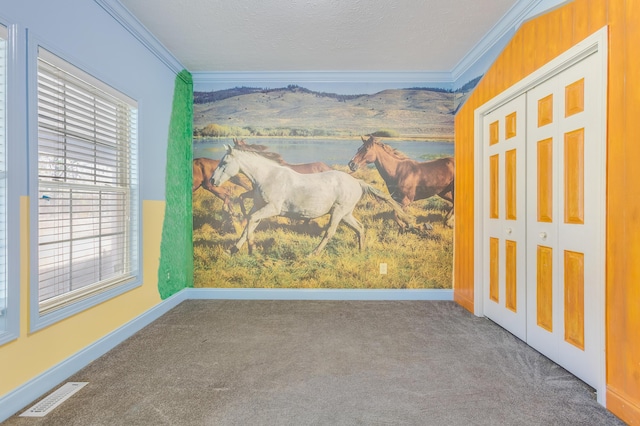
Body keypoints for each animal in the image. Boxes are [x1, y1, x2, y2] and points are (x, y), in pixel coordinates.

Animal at [210, 146, 410, 256]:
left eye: (224, 163)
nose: (212, 181)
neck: (268, 176)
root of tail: (358, 182)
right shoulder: (259, 206)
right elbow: (249, 222)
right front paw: (234, 250)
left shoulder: (272, 208)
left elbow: (251, 221)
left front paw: (250, 248)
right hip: (346, 214)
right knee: (360, 228)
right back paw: (360, 251)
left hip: (338, 212)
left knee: (330, 232)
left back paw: (312, 254)